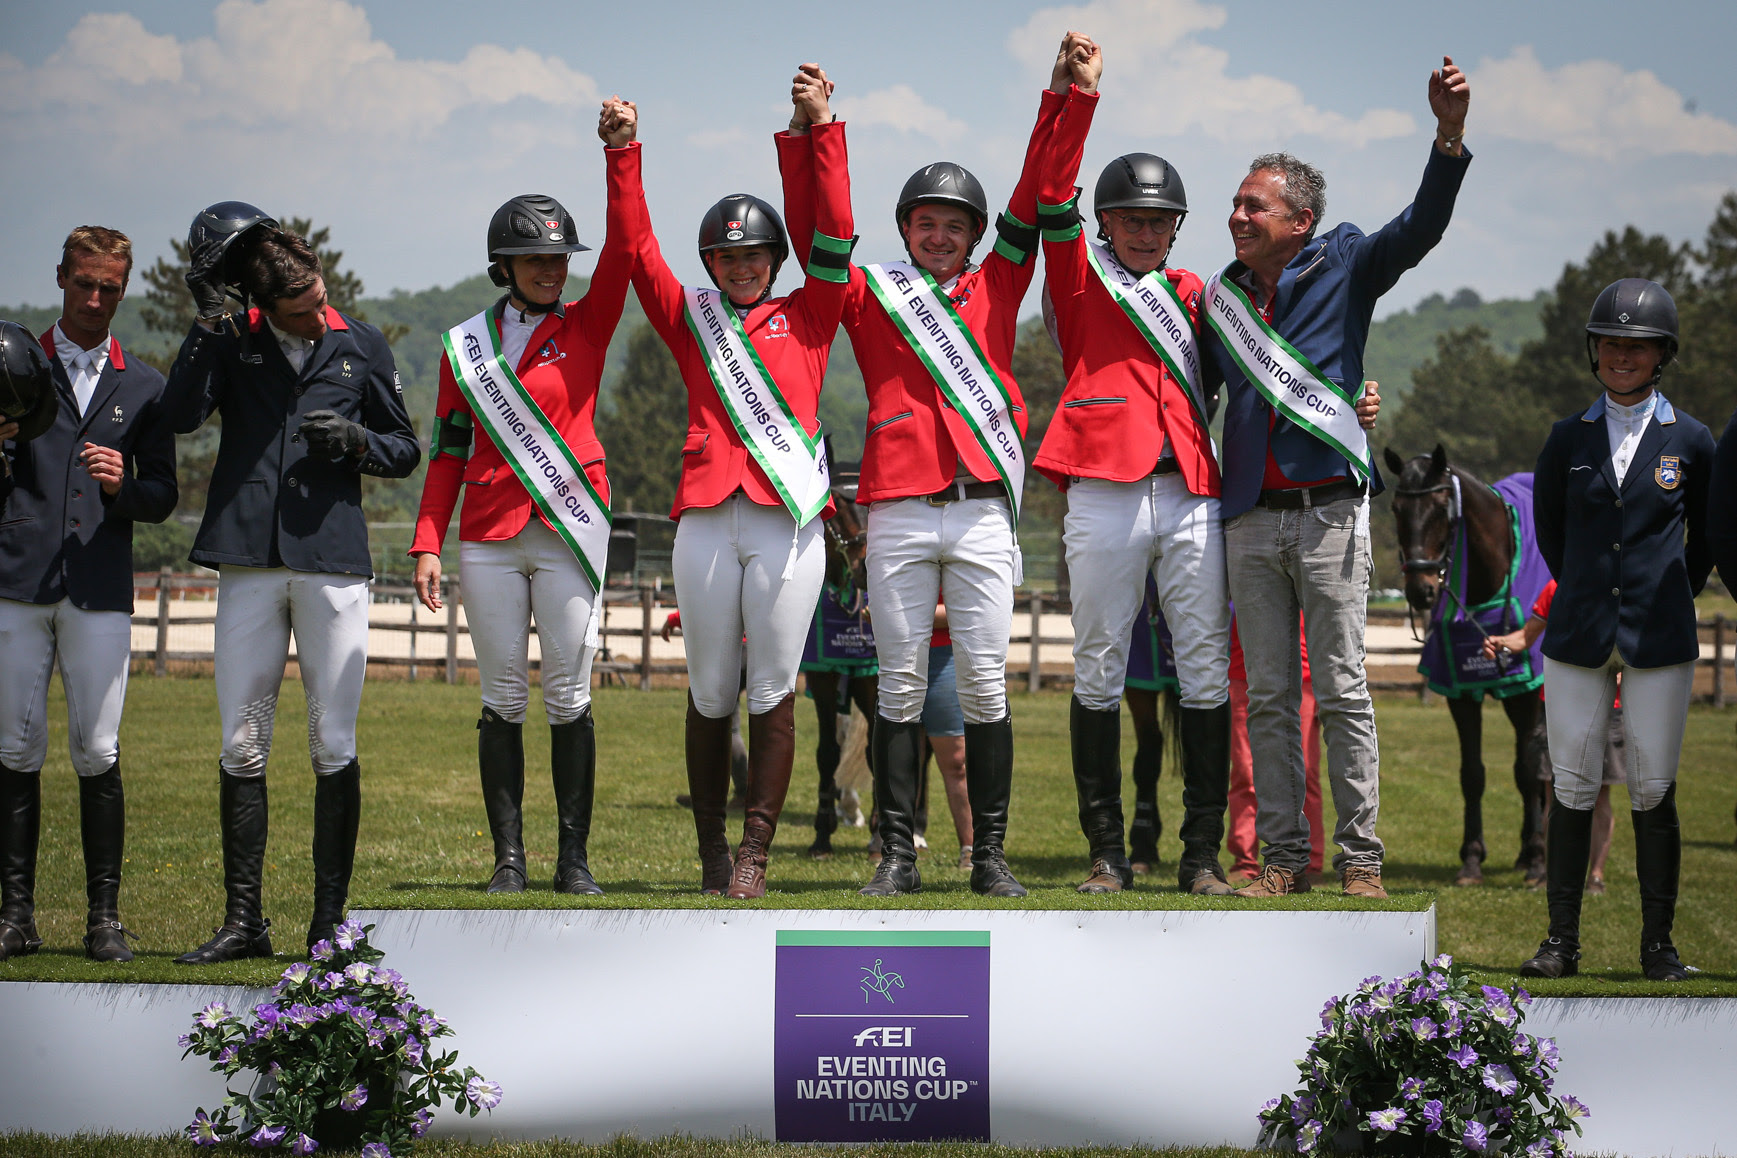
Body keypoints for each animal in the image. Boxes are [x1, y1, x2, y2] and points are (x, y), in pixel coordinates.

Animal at [1382, 447, 1549, 881]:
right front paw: (1472, 858)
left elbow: (1527, 772)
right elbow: (1472, 774)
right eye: (1396, 508)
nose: (1420, 590)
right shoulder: (1461, 695)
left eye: (1442, 508)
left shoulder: (1526, 695)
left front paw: (1537, 859)